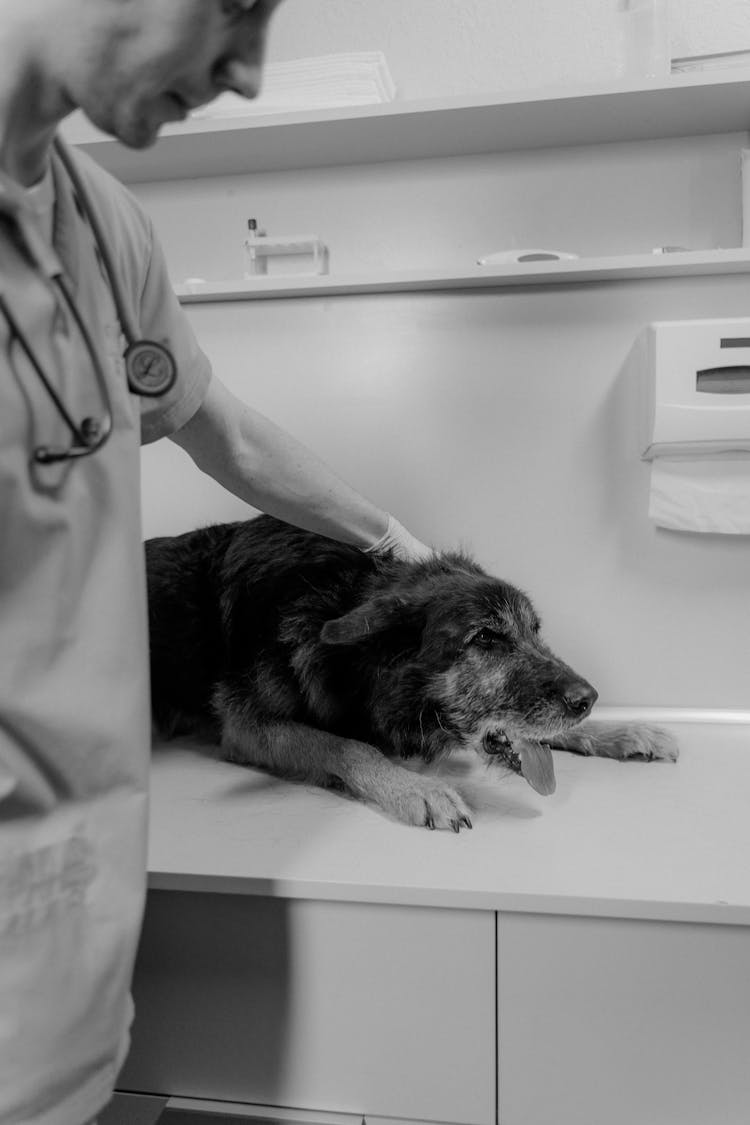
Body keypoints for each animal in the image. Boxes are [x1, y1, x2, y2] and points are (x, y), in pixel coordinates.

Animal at [143, 515, 679, 828]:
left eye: (534, 631)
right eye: (486, 638)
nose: (587, 699)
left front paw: (620, 732)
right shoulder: (245, 726)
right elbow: (343, 743)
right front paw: (415, 788)